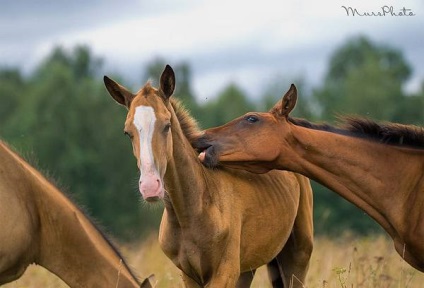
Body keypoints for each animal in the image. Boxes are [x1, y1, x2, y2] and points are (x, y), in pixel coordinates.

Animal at [104, 66, 314, 288]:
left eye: (167, 125)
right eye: (127, 132)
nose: (150, 187)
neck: (192, 211)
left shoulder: (224, 273)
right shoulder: (189, 275)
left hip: (298, 255)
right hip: (248, 268)